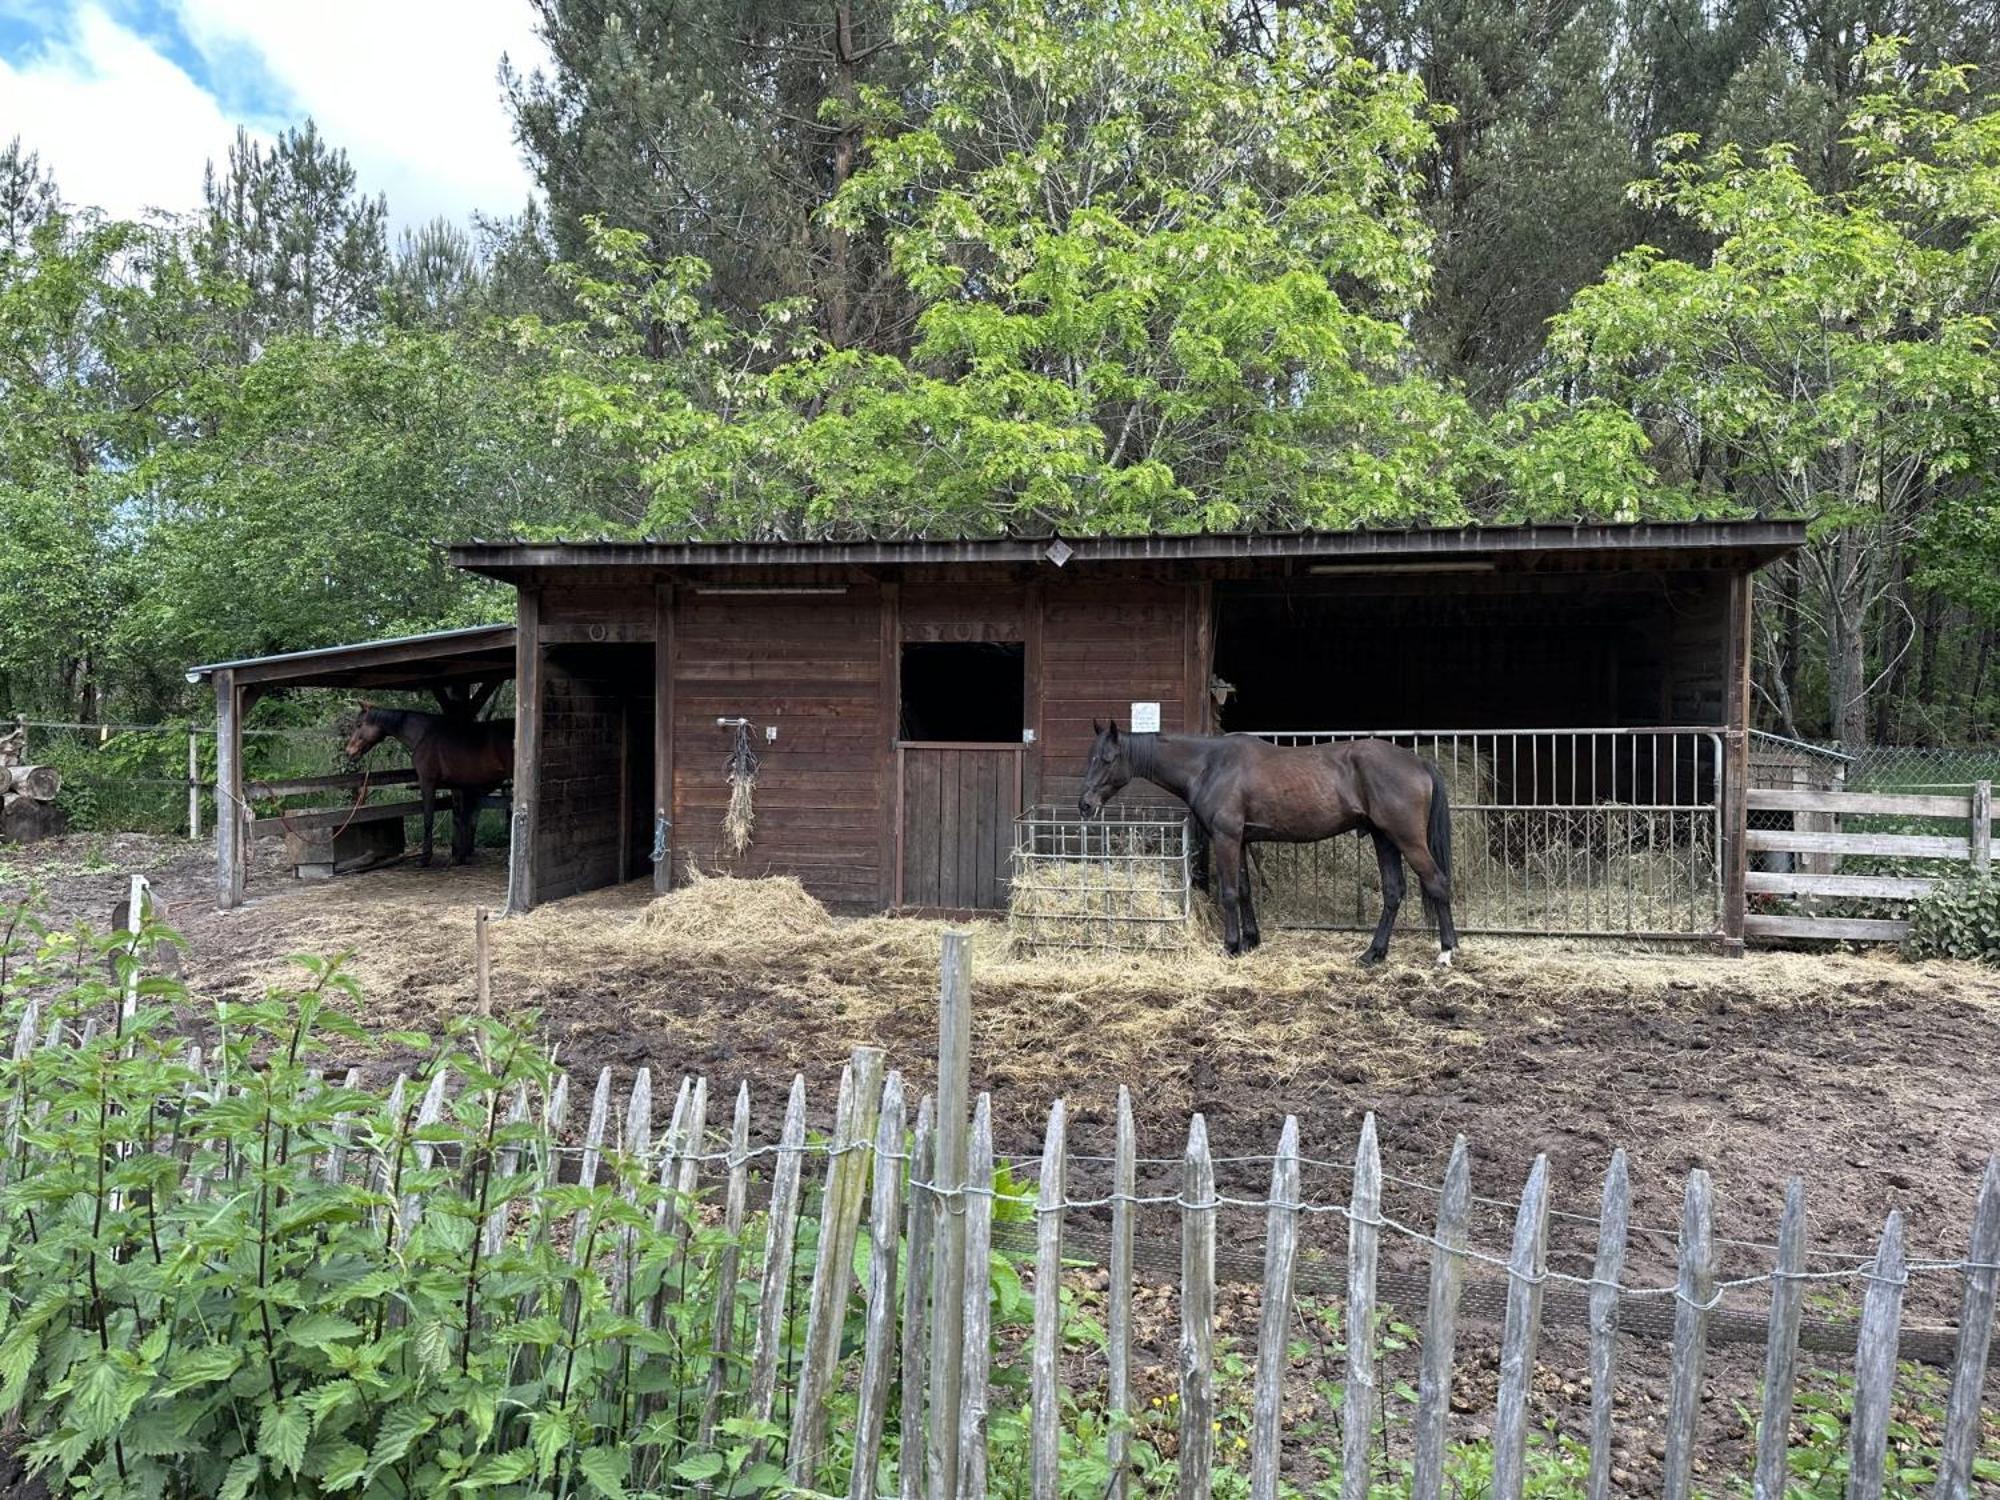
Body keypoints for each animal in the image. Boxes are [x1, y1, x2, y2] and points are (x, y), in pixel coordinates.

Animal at [338, 704, 512, 868]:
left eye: (359, 724)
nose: (349, 752)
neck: (423, 735)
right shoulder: (456, 786)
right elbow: (460, 818)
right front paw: (458, 857)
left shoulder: (427, 783)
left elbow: (429, 818)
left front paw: (424, 859)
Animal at [1080, 724, 1456, 964]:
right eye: (1090, 757)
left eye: (1107, 759)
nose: (1085, 805)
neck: (1209, 765)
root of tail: (1419, 762)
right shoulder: (1241, 840)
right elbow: (1245, 889)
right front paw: (1250, 940)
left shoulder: (1226, 838)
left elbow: (1229, 892)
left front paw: (1231, 946)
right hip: (1384, 838)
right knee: (1393, 892)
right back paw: (1373, 954)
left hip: (1406, 839)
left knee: (1437, 883)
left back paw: (1446, 952)